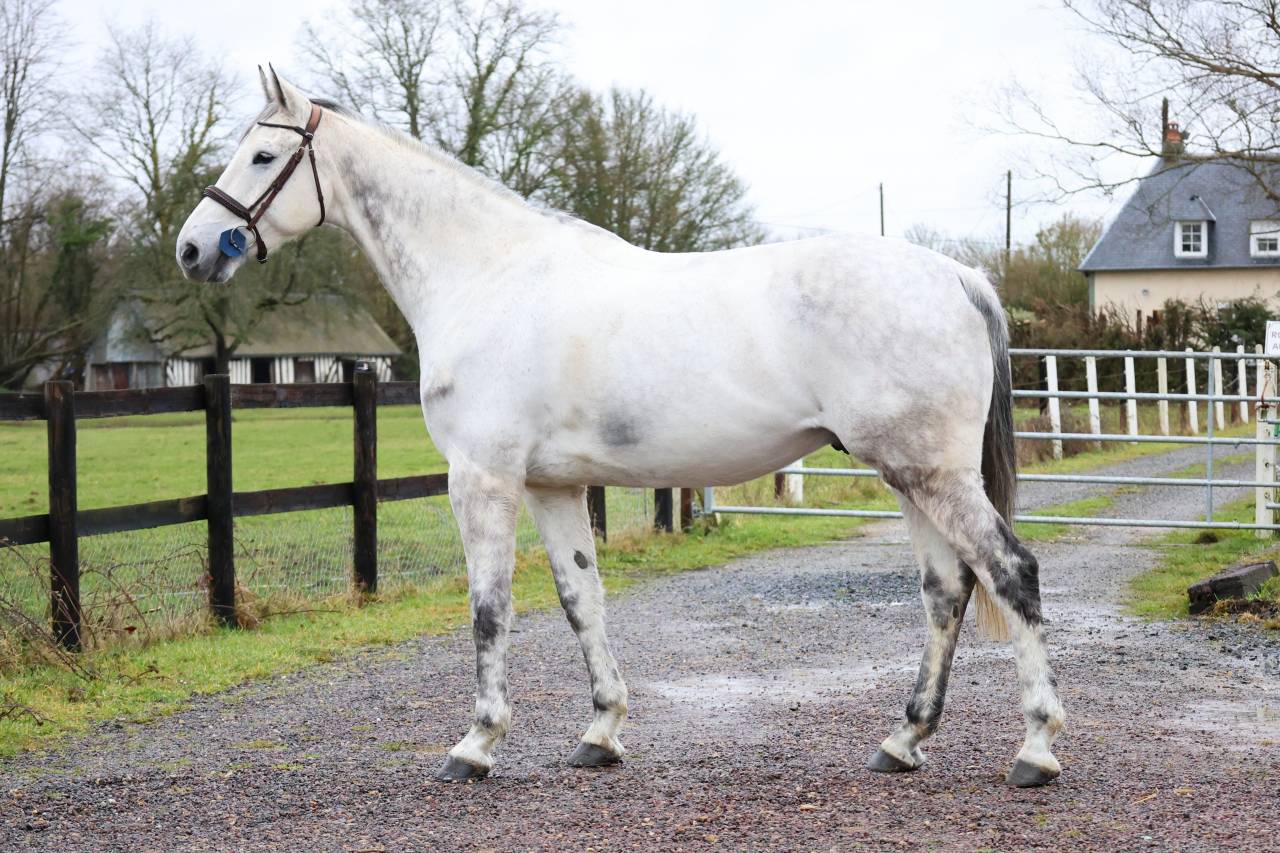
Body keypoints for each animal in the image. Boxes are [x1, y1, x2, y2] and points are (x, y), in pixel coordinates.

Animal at [176, 67, 1065, 788]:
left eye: (263, 156)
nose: (192, 249)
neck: (487, 274)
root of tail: (959, 277)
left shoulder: (482, 477)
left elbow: (489, 608)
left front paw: (476, 744)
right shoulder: (552, 485)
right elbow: (581, 599)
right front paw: (600, 731)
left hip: (932, 475)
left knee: (1011, 571)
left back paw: (1036, 748)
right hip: (912, 476)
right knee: (947, 591)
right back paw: (903, 740)